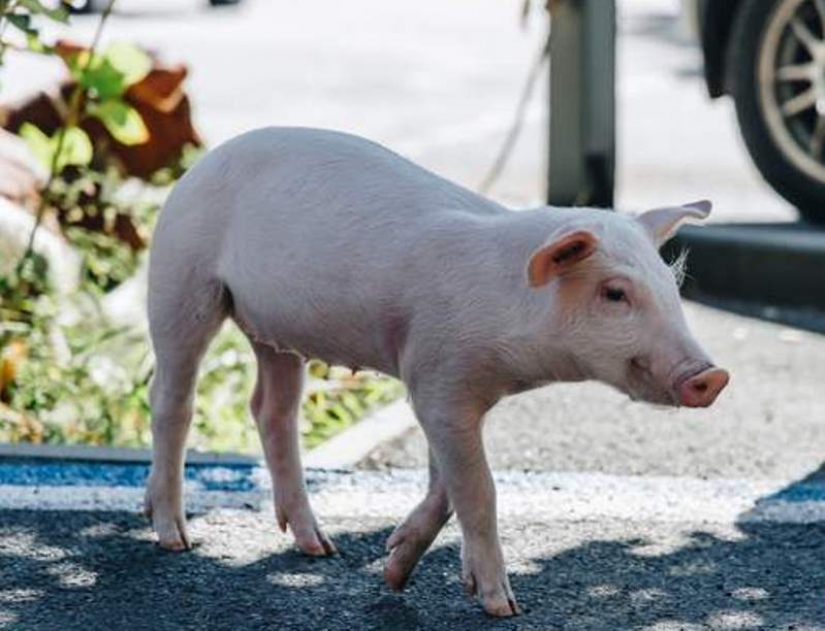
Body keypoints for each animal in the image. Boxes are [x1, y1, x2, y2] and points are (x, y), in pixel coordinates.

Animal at [144, 127, 729, 617]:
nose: (712, 376)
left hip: (275, 332)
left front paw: (394, 571)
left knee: (272, 408)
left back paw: (319, 547)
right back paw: (174, 537)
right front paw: (502, 606)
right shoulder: (436, 380)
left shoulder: (441, 384)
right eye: (614, 293)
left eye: (671, 286)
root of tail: (201, 162)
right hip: (182, 280)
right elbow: (478, 488)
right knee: (171, 398)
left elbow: (447, 483)